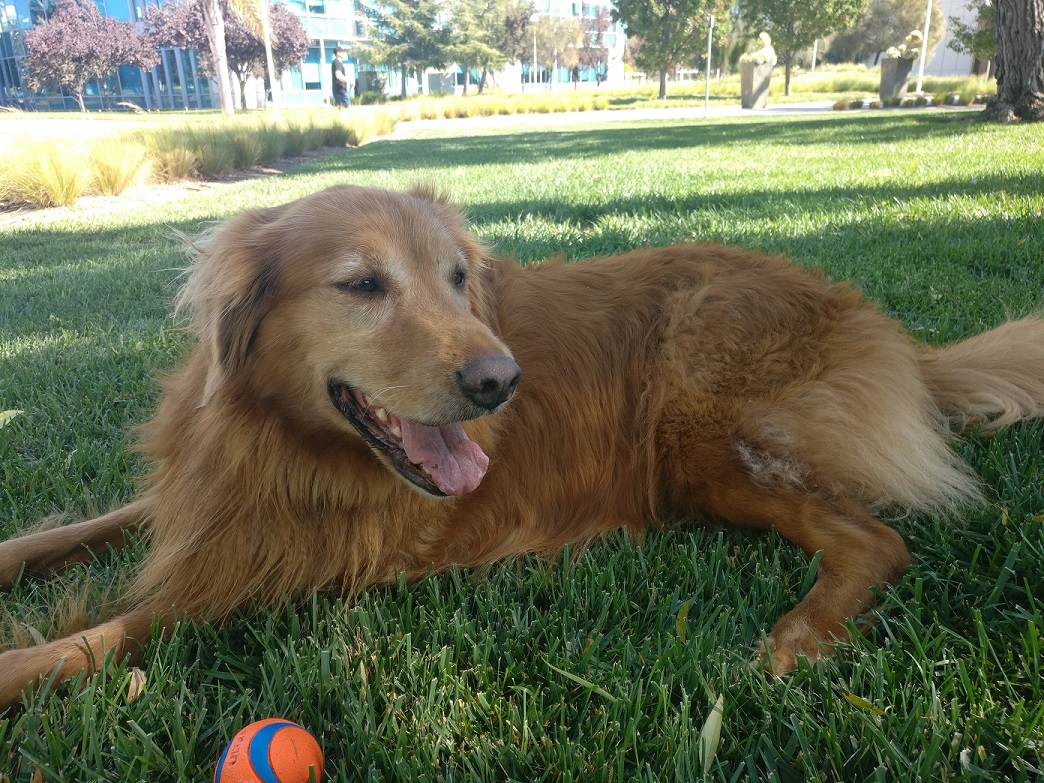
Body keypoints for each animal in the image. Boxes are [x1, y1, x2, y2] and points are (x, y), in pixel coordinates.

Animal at [2, 185, 1044, 709]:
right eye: (363, 284)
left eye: (459, 277)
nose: (502, 381)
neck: (282, 440)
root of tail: (870, 316)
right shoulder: (206, 497)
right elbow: (59, 538)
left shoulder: (267, 571)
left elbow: (95, 639)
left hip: (699, 431)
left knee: (877, 538)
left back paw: (798, 637)